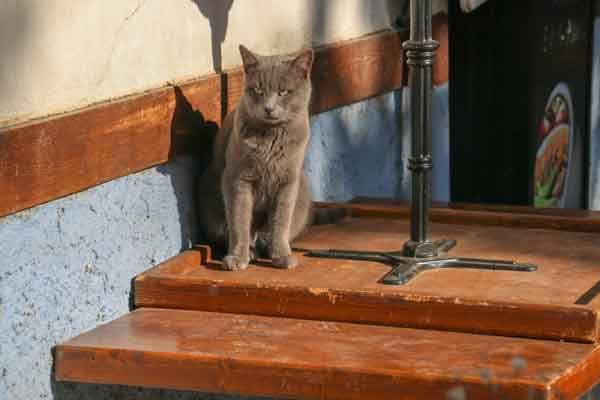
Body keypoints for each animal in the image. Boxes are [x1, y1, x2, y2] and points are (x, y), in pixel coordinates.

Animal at [199, 45, 336, 270]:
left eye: (284, 91)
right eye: (258, 90)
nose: (269, 108)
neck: (271, 137)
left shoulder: (288, 181)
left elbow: (281, 221)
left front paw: (281, 256)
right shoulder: (237, 178)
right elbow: (239, 220)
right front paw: (237, 258)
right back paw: (250, 251)